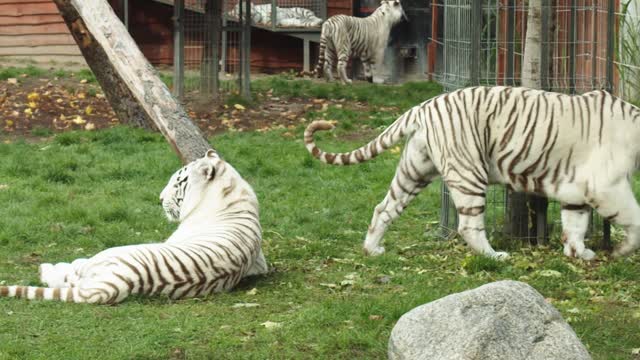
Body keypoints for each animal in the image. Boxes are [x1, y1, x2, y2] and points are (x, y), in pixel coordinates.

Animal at [0, 149, 268, 304]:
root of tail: (122, 281)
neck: (233, 190)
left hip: (105, 256)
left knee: (71, 274)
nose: (159, 198)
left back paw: (46, 268)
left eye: (177, 183)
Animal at [302, 87, 640, 262]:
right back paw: (495, 256)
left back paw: (372, 249)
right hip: (468, 171)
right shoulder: (606, 186)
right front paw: (621, 251)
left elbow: (576, 223)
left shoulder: (576, 188)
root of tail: (422, 106)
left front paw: (578, 252)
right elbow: (634, 218)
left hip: (415, 169)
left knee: (383, 207)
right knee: (468, 226)